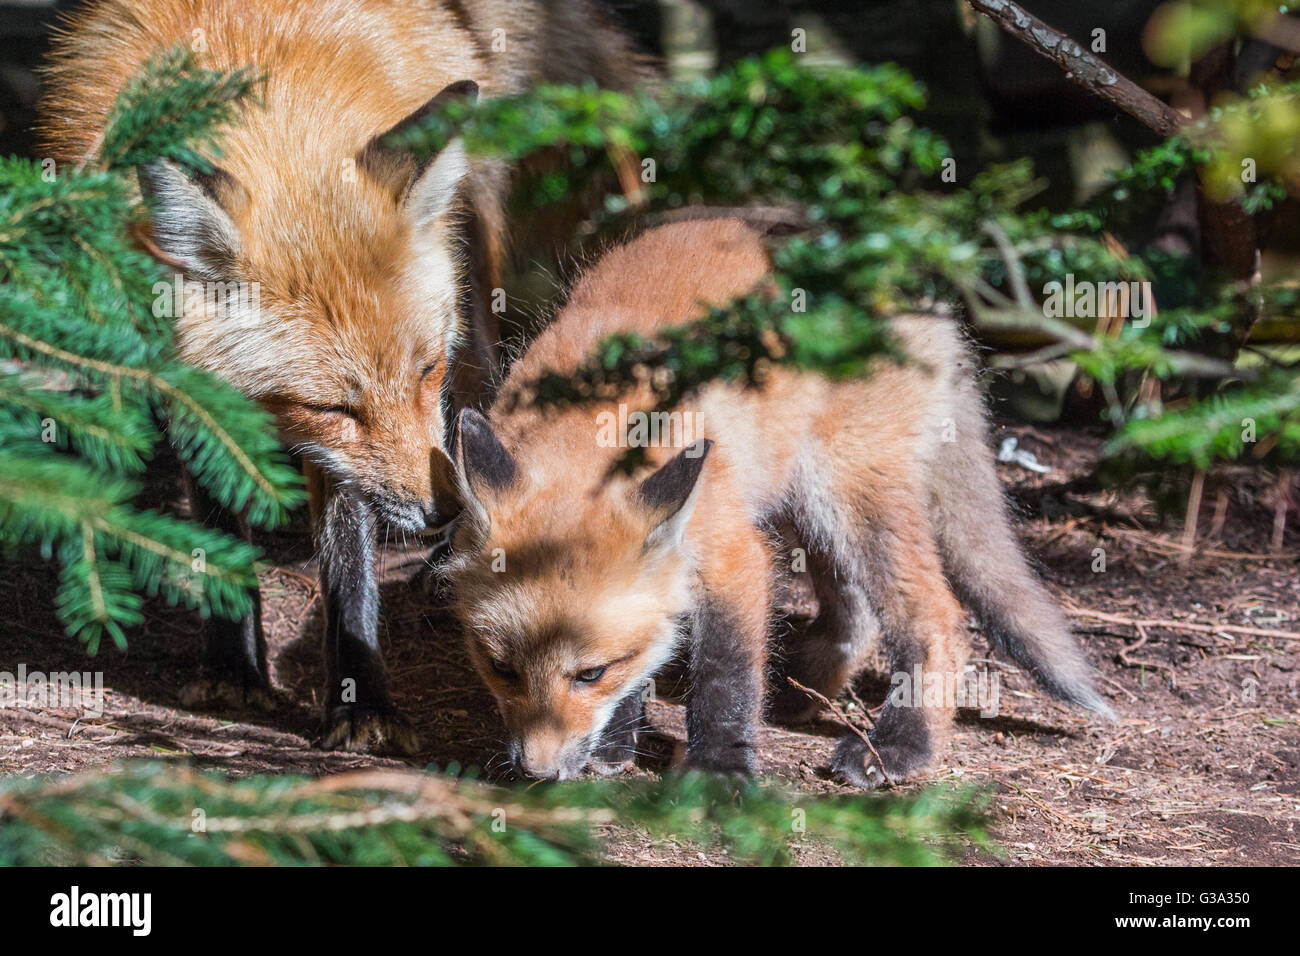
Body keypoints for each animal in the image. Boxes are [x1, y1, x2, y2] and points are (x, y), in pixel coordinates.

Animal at [38, 0, 647, 749]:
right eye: (332, 408)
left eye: (426, 371)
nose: (443, 508)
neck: (258, 81)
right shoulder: (201, 390)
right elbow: (219, 519)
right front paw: (234, 669)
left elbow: (350, 564)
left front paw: (363, 703)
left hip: (471, 234)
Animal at [449, 221, 1118, 790]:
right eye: (500, 668)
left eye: (589, 674)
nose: (537, 774)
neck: (586, 431)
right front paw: (617, 741)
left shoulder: (732, 554)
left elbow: (725, 674)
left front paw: (719, 770)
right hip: (805, 505)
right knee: (857, 610)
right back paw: (807, 690)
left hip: (846, 492)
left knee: (937, 616)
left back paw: (900, 746)